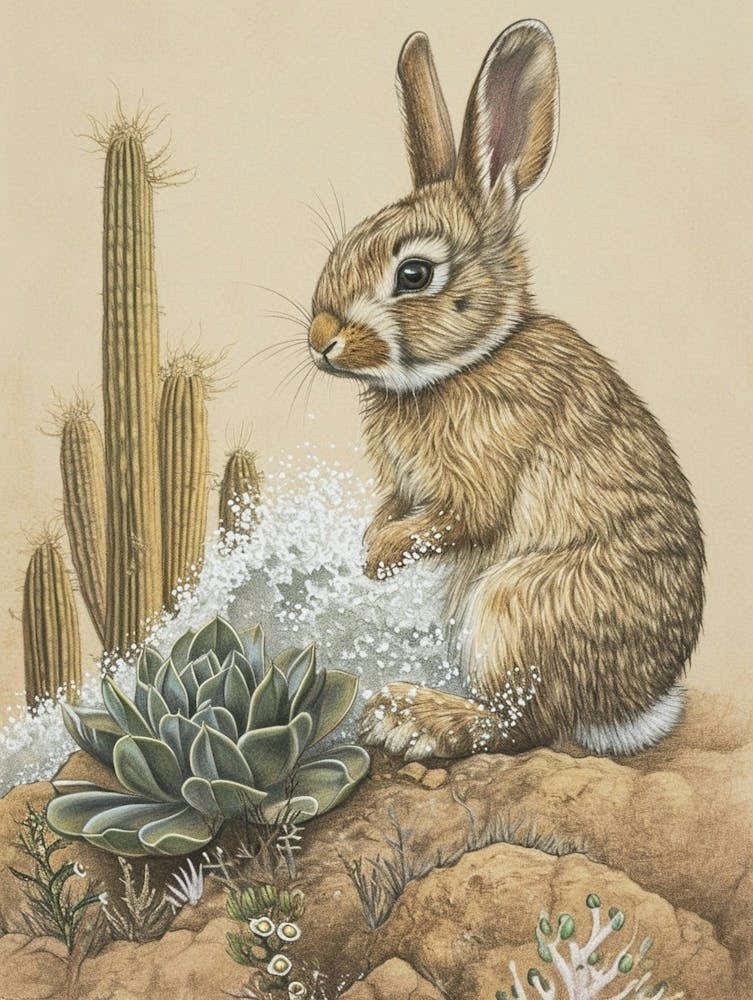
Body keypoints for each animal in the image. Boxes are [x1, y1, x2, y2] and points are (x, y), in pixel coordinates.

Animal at [306, 20, 704, 760]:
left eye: (413, 273)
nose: (321, 339)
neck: (467, 363)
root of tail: (633, 708)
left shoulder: (477, 480)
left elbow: (457, 520)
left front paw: (377, 559)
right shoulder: (402, 485)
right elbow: (393, 510)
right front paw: (369, 548)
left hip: (514, 605)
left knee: (516, 725)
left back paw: (410, 719)